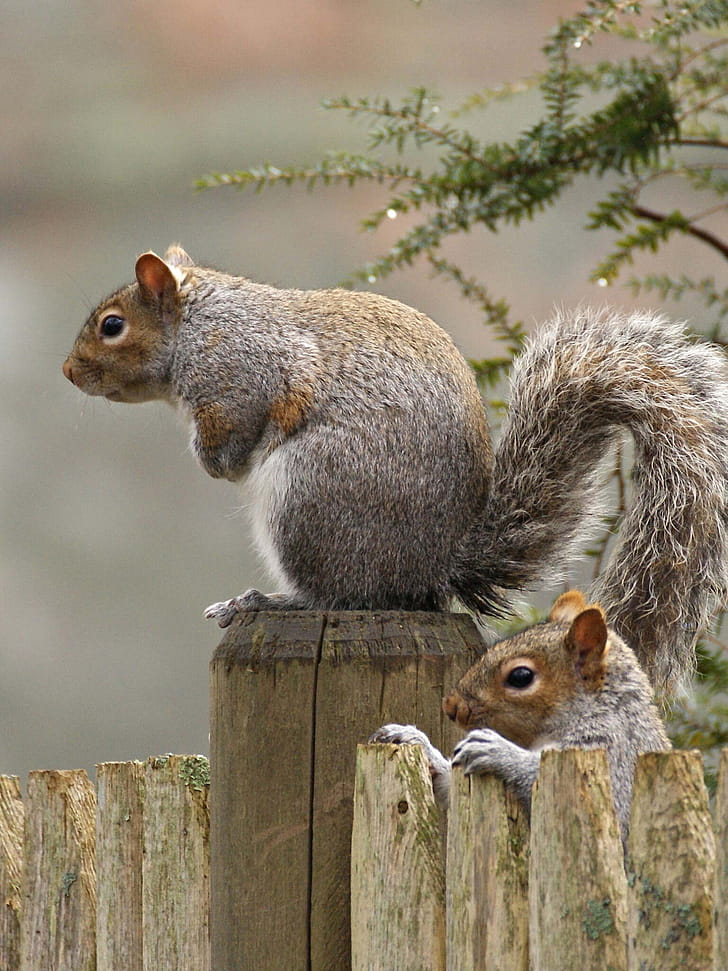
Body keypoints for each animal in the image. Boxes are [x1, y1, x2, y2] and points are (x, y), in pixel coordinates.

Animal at [62, 243, 728, 692]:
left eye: (112, 326)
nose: (68, 373)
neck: (198, 323)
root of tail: (434, 564)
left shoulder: (238, 377)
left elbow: (233, 436)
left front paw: (212, 462)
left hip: (310, 498)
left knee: (338, 594)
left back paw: (262, 602)